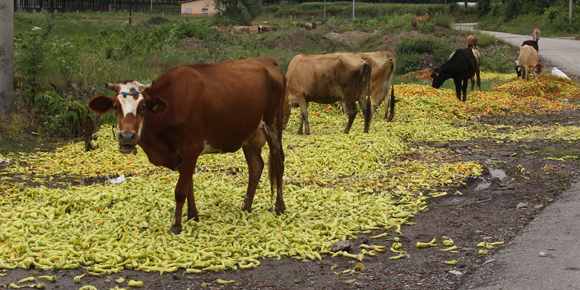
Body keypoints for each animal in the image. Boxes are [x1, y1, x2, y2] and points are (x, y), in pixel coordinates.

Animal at [88, 57, 286, 236]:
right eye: (115, 107)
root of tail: (267, 60)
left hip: (273, 126)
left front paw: (176, 226)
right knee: (256, 166)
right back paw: (246, 206)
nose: (127, 137)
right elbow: (189, 184)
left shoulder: (192, 147)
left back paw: (279, 207)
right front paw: (192, 215)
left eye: (143, 107)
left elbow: (180, 189)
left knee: (278, 164)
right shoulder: (181, 154)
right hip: (249, 135)